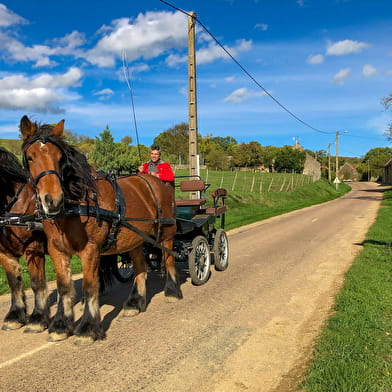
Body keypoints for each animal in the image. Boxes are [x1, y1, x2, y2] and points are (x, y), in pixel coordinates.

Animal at [0, 146, 48, 330]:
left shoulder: (33, 247)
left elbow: (36, 282)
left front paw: (38, 317)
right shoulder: (4, 252)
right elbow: (14, 282)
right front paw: (15, 315)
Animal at [19, 115, 182, 344]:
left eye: (60, 158)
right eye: (30, 158)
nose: (52, 200)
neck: (75, 205)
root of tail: (156, 182)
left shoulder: (90, 250)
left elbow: (89, 288)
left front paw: (87, 328)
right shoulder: (57, 250)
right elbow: (63, 287)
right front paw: (60, 325)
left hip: (166, 232)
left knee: (168, 259)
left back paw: (172, 292)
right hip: (135, 239)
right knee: (140, 267)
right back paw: (135, 303)